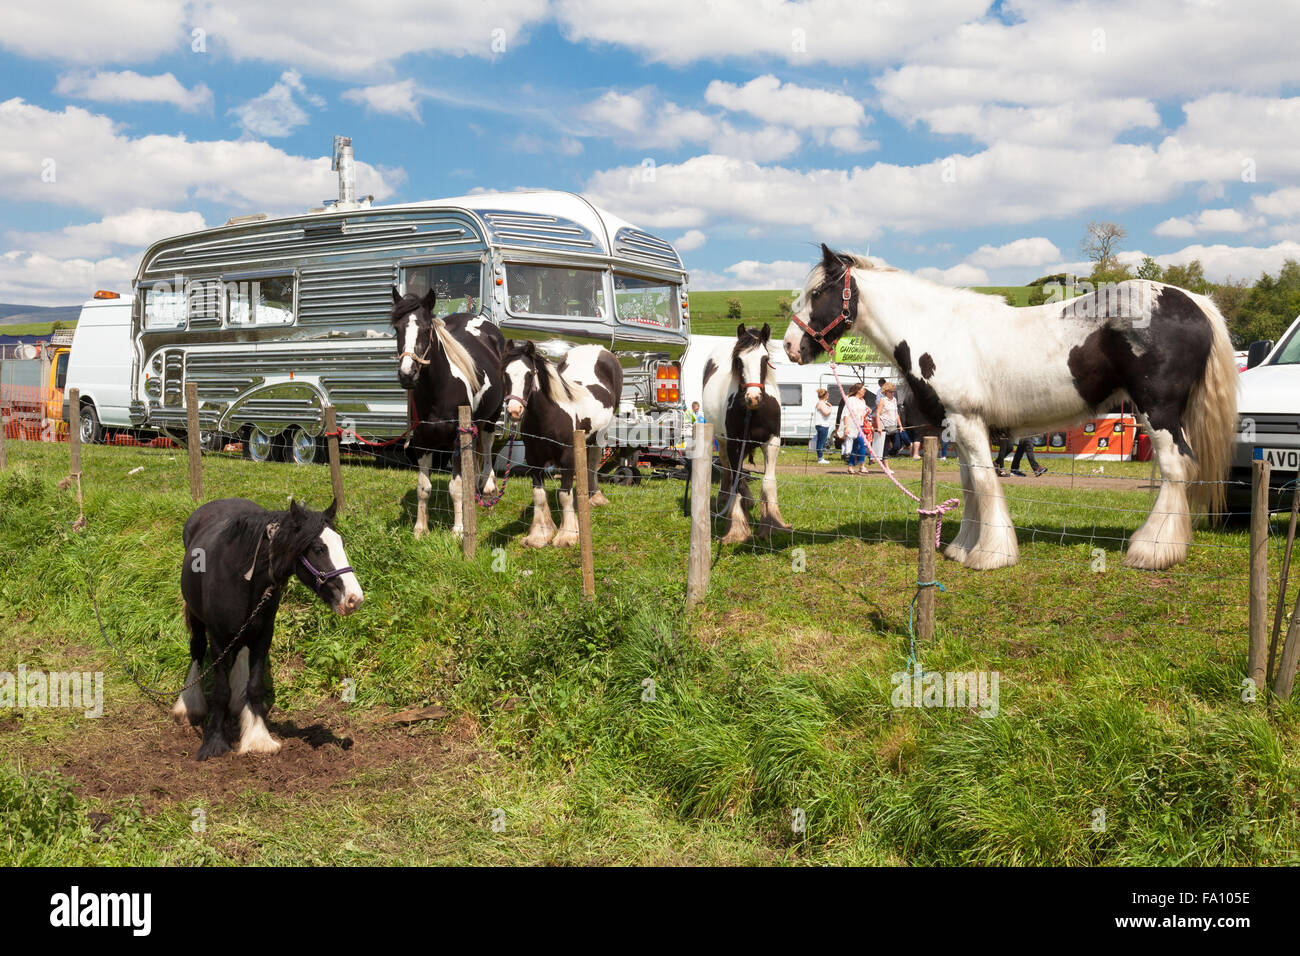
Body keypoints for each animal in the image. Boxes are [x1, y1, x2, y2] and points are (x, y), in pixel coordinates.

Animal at [172, 496, 364, 759]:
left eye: (341, 543)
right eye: (318, 549)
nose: (354, 599)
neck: (241, 575)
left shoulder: (264, 634)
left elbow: (254, 687)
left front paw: (257, 738)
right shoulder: (218, 638)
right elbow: (220, 691)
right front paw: (214, 743)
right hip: (197, 618)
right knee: (197, 651)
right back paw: (188, 704)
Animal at [387, 286, 504, 538]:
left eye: (426, 329)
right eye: (397, 328)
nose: (407, 374)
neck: (439, 390)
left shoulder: (458, 440)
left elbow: (456, 487)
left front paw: (459, 530)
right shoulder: (422, 442)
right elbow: (424, 487)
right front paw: (420, 528)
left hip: (492, 417)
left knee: (488, 446)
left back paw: (488, 485)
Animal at [499, 338, 621, 546]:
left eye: (529, 374)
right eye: (505, 373)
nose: (514, 411)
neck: (549, 416)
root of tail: (596, 348)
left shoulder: (567, 458)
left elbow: (564, 495)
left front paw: (567, 535)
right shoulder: (534, 460)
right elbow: (539, 495)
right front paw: (540, 535)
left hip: (599, 436)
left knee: (592, 465)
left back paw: (595, 497)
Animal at [702, 323, 790, 541]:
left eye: (765, 359)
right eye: (739, 360)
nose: (753, 397)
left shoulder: (772, 441)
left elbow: (768, 481)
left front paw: (772, 524)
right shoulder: (735, 443)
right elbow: (737, 481)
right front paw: (737, 528)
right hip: (721, 440)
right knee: (728, 470)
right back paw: (725, 499)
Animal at [780, 247, 1237, 574]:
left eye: (817, 293)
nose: (789, 347)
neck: (938, 329)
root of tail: (1194, 301)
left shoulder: (966, 420)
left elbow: (984, 483)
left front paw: (990, 556)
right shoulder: (959, 427)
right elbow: (969, 485)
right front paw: (963, 548)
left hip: (1157, 412)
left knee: (1177, 467)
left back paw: (1153, 551)